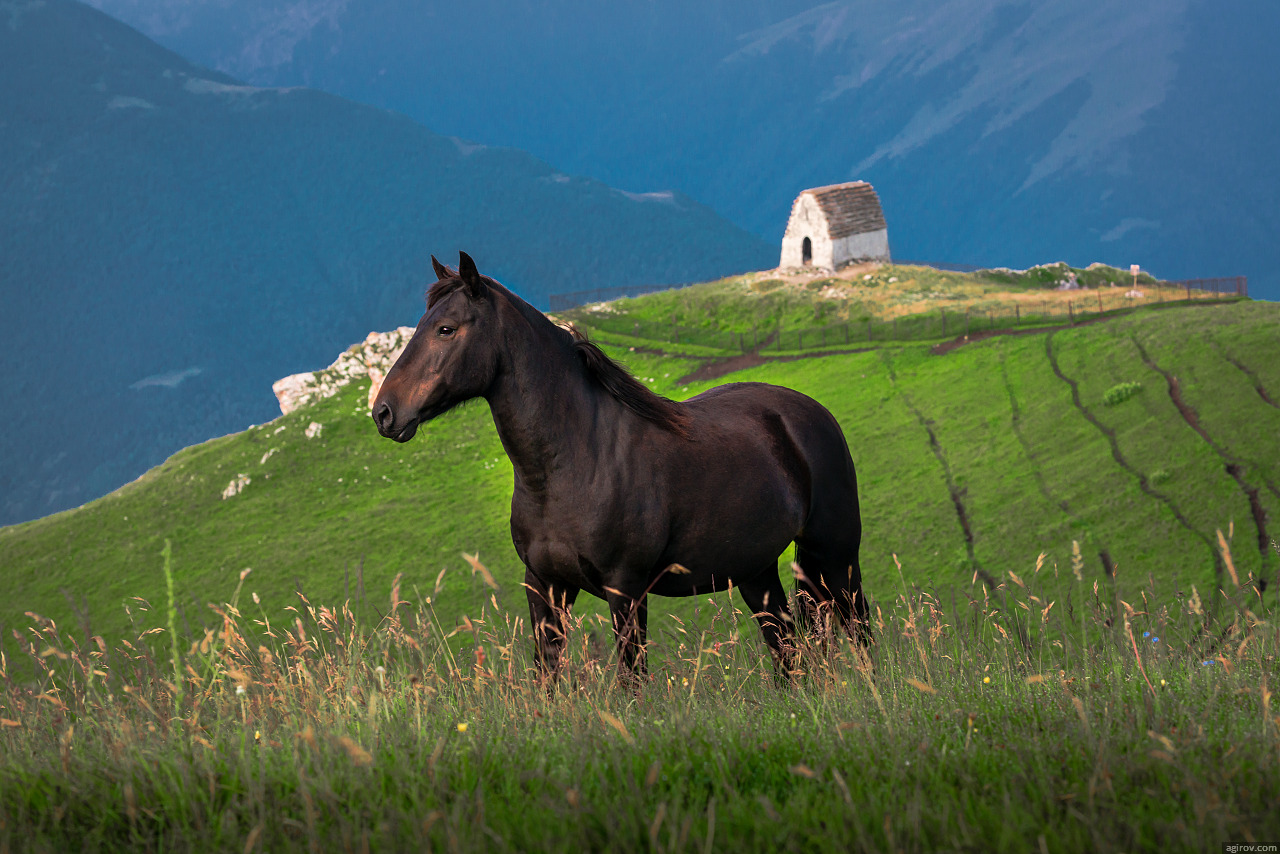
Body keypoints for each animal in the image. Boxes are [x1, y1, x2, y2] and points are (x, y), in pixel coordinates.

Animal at [371, 250, 870, 676]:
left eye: (446, 329)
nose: (384, 412)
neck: (570, 464)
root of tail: (809, 413)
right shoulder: (544, 587)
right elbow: (547, 676)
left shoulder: (625, 590)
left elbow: (633, 678)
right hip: (757, 570)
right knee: (787, 649)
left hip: (836, 556)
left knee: (859, 632)